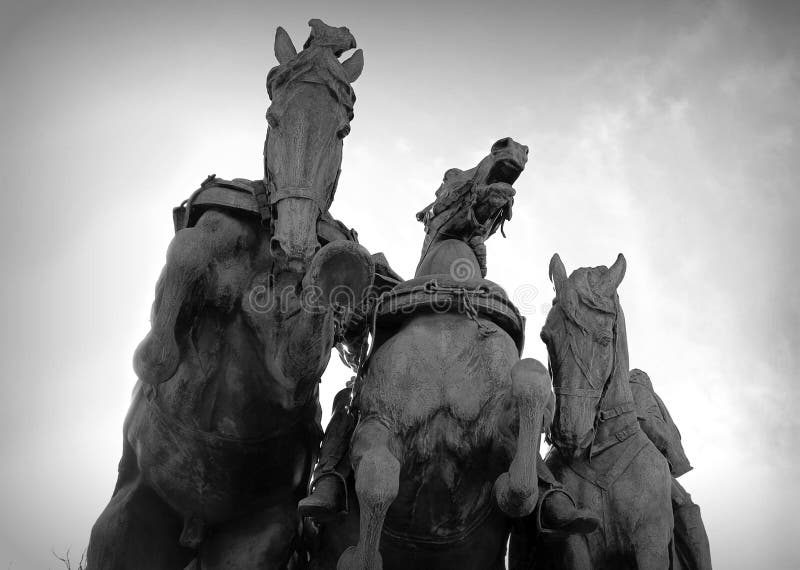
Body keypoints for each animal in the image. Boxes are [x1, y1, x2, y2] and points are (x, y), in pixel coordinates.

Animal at [86, 20, 374, 564]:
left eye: (342, 129)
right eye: (273, 117)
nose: (296, 244)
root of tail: (194, 527)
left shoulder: (294, 369)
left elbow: (300, 354)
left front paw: (333, 271)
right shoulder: (208, 237)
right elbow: (186, 256)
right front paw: (155, 356)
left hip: (256, 536)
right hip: (126, 522)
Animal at [536, 254, 676, 568]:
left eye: (603, 340)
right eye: (546, 338)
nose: (568, 434)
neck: (601, 455)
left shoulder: (651, 545)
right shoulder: (575, 543)